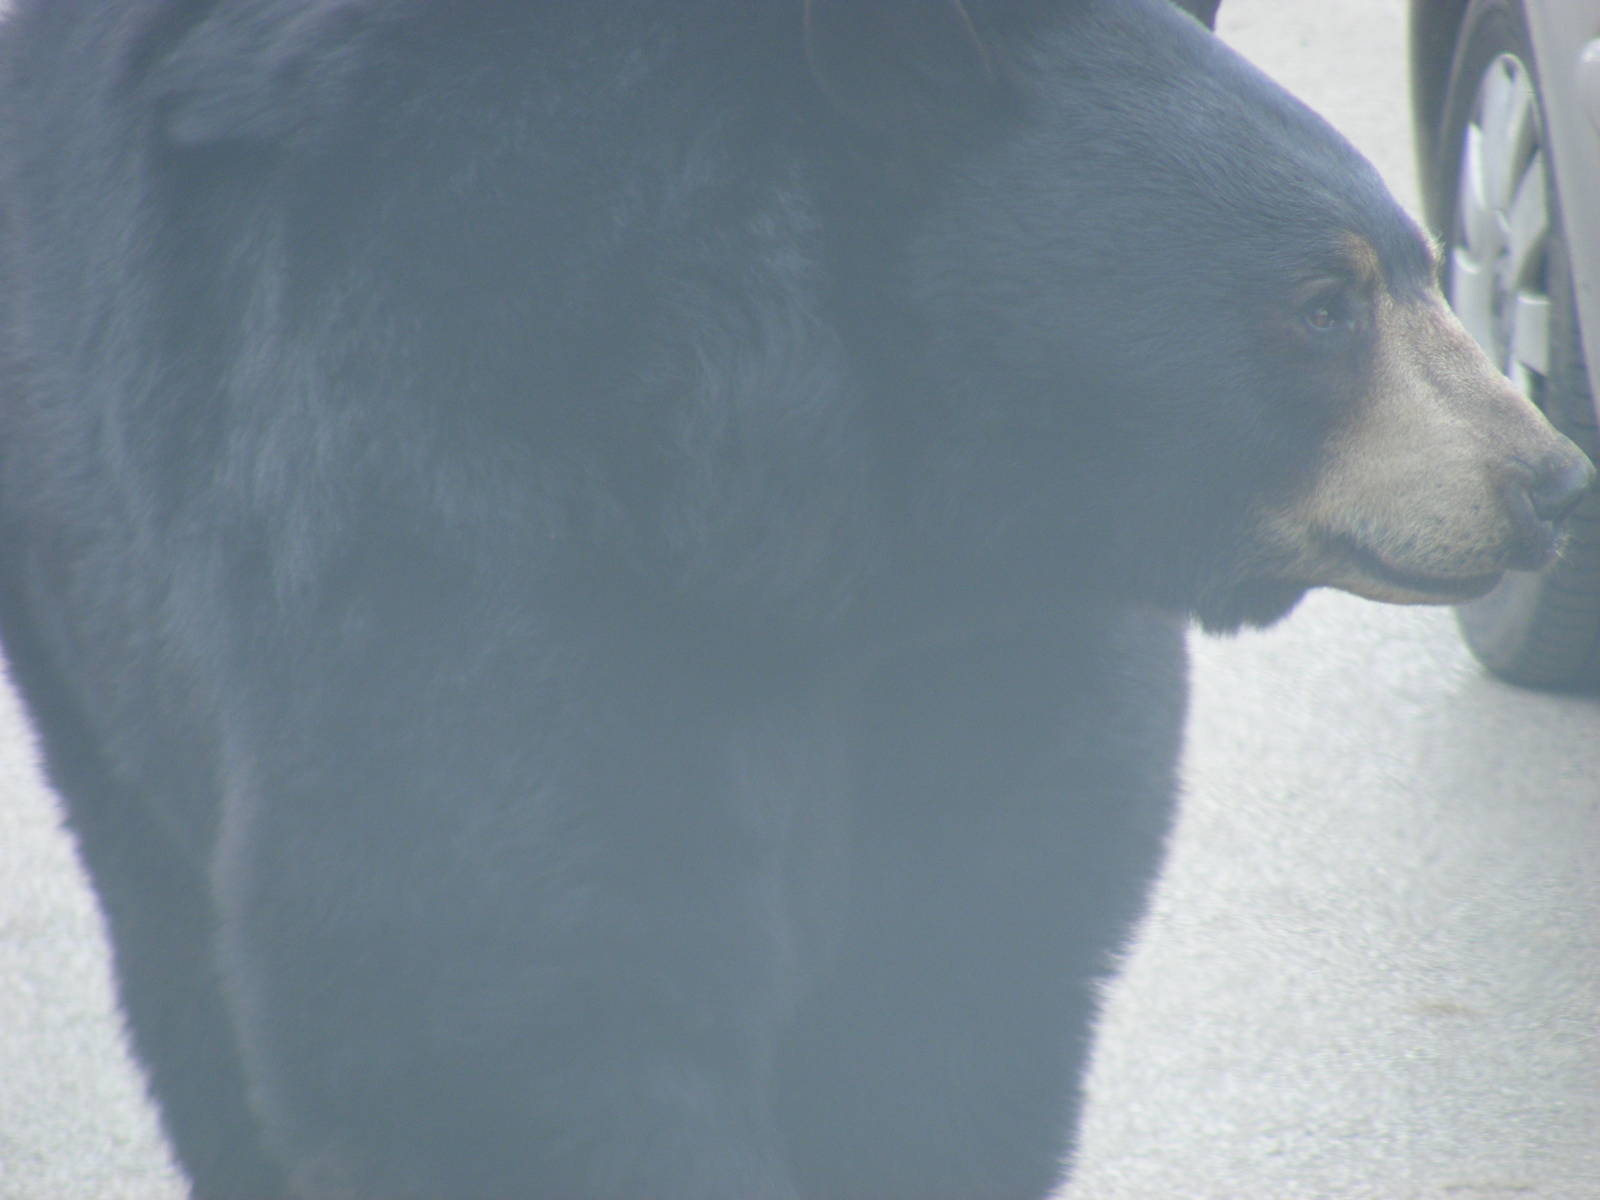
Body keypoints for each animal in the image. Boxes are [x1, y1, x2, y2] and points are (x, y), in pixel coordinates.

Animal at [0, 0, 1589, 1197]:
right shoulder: (455, 495)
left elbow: (965, 961)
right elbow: (501, 972)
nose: (1549, 478)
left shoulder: (1004, 643)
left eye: (1420, 262)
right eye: (1324, 301)